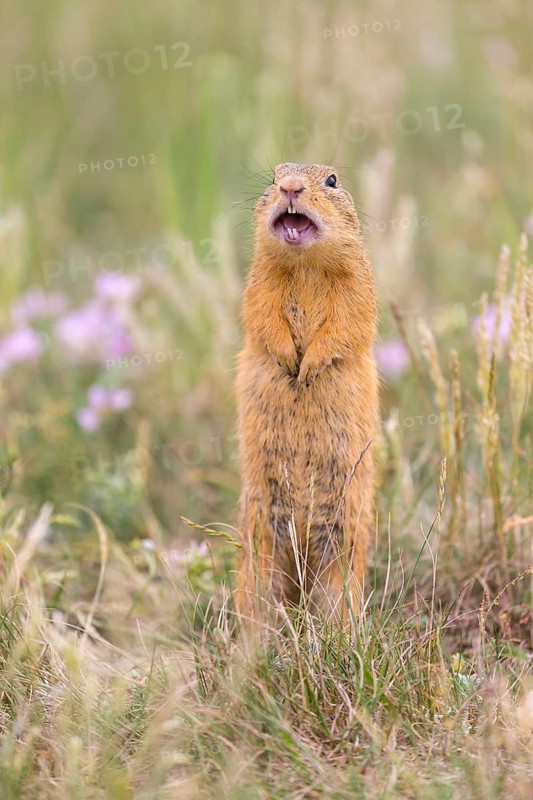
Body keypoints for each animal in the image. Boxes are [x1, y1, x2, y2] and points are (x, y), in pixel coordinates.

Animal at [235, 162, 378, 621]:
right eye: (274, 176)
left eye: (332, 181)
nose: (291, 188)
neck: (304, 267)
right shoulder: (258, 284)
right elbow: (262, 316)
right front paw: (288, 361)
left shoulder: (357, 288)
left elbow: (346, 324)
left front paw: (309, 367)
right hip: (258, 544)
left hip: (343, 541)